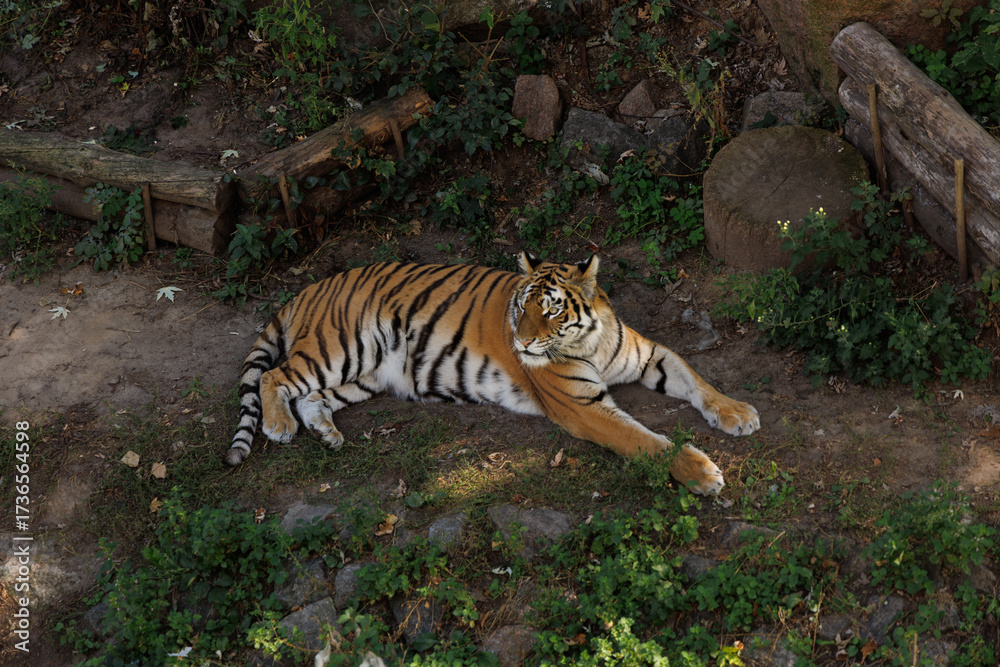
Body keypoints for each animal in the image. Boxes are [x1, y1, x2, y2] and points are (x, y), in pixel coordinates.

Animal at [226, 253, 760, 495]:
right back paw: (279, 426)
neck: (589, 340)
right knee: (275, 377)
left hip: (367, 375)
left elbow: (697, 381)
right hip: (341, 348)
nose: (521, 342)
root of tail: (310, 287)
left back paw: (328, 434)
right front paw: (703, 473)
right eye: (521, 307)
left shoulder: (651, 355)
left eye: (551, 310)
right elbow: (647, 441)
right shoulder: (582, 407)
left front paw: (737, 413)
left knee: (310, 396)